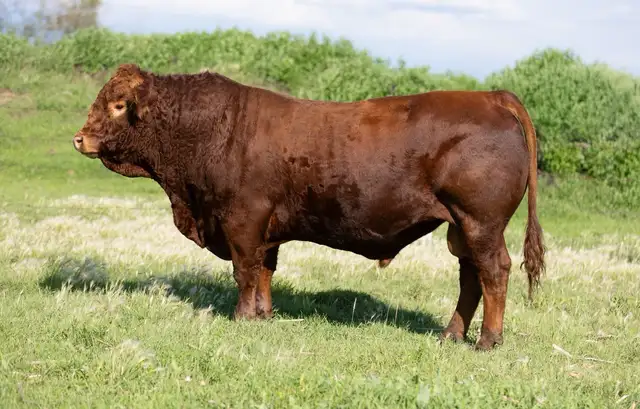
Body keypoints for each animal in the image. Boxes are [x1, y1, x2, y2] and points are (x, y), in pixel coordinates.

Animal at [73, 63, 545, 350]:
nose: (79, 138)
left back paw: (487, 340)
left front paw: (242, 319)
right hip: (461, 227)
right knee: (470, 278)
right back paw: (451, 335)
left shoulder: (241, 220)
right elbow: (265, 271)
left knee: (493, 272)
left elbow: (244, 271)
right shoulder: (266, 228)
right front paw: (264, 316)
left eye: (118, 105)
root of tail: (490, 96)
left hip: (481, 222)